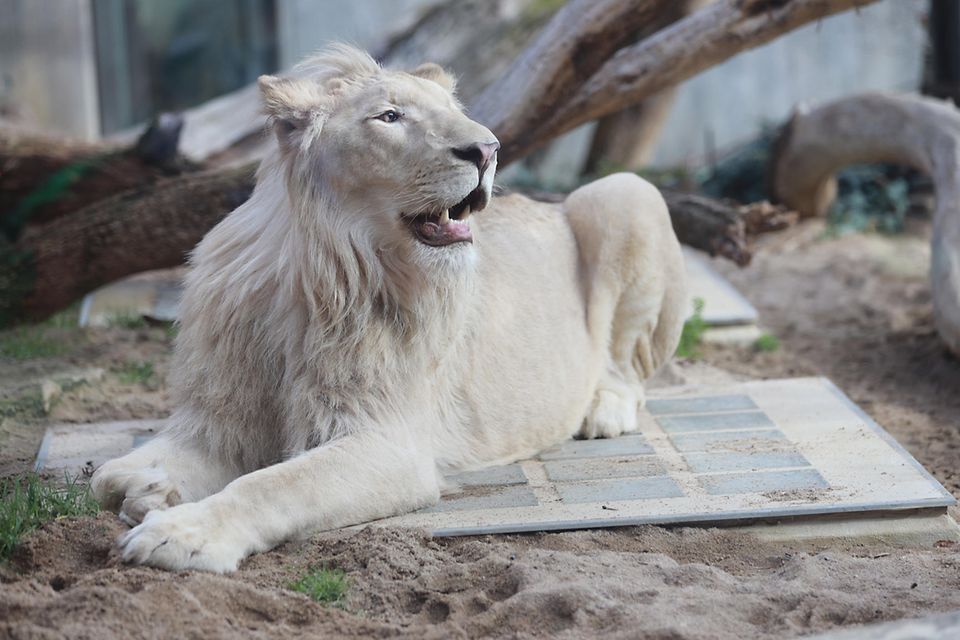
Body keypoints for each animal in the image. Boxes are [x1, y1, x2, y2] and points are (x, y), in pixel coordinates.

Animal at [90, 46, 688, 576]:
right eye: (389, 116)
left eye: (455, 113)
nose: (488, 149)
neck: (321, 275)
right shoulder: (219, 420)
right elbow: (116, 473)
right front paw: (149, 487)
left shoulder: (390, 443)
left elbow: (270, 484)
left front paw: (183, 533)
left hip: (623, 193)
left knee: (628, 368)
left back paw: (603, 409)